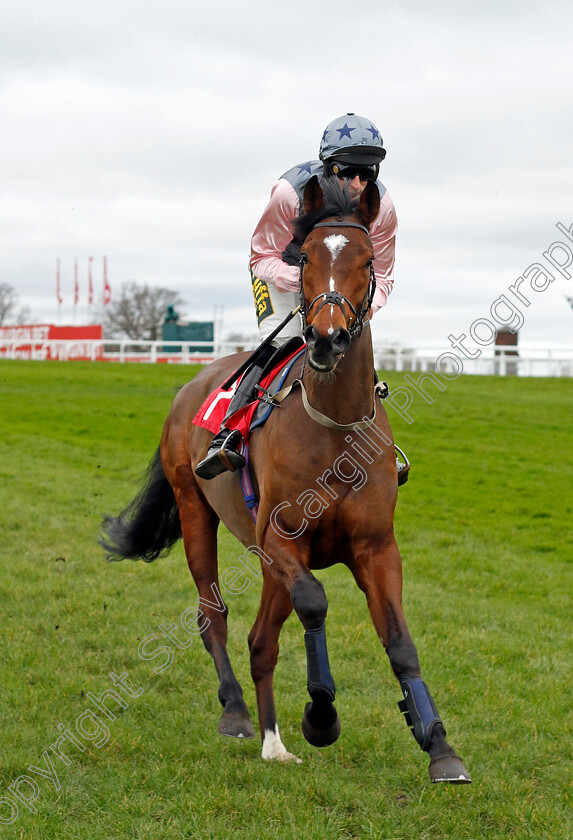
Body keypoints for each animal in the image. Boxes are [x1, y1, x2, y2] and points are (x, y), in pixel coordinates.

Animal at [101, 179, 470, 788]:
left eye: (367, 261)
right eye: (304, 259)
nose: (325, 339)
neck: (335, 426)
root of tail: (188, 386)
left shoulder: (375, 547)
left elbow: (399, 642)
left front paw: (438, 744)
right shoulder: (280, 539)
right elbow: (315, 603)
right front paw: (321, 715)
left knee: (260, 641)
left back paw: (273, 741)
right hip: (197, 510)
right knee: (215, 617)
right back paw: (237, 713)